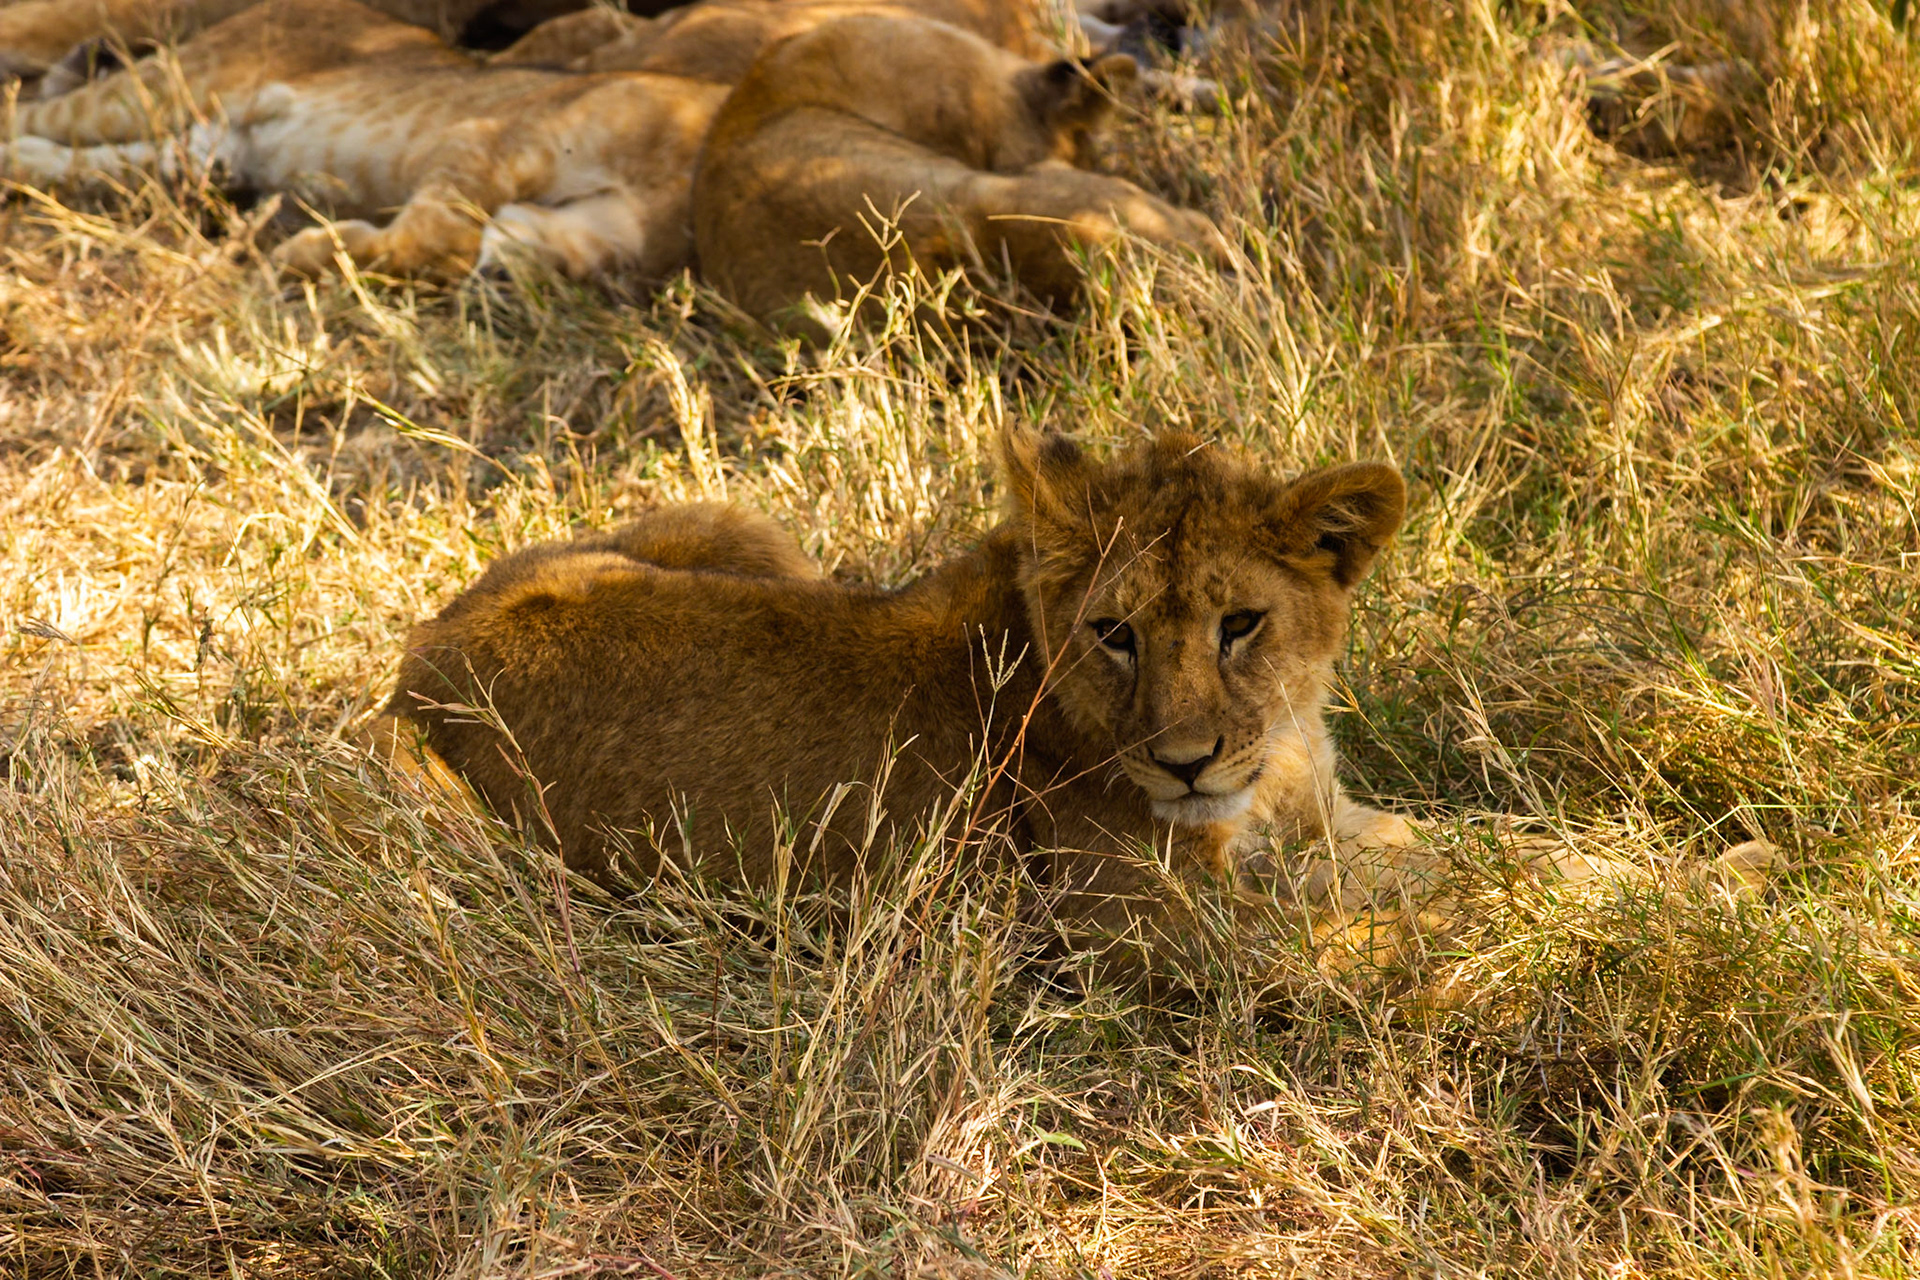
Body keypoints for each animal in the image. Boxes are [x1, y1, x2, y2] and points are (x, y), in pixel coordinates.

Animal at [0, 0, 728, 281]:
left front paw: (321, 251)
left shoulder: (591, 234)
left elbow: (455, 247)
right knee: (30, 114)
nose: (499, 277)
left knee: (87, 164)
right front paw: (308, 252)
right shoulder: (493, 135)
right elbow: (440, 233)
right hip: (164, 87)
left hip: (189, 147)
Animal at [372, 427, 1405, 974]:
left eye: (1242, 624)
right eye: (1115, 632)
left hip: (741, 529)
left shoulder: (1333, 819)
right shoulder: (1139, 924)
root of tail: (424, 654)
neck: (1277, 754)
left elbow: (1414, 854)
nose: (1185, 765)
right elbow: (1365, 941)